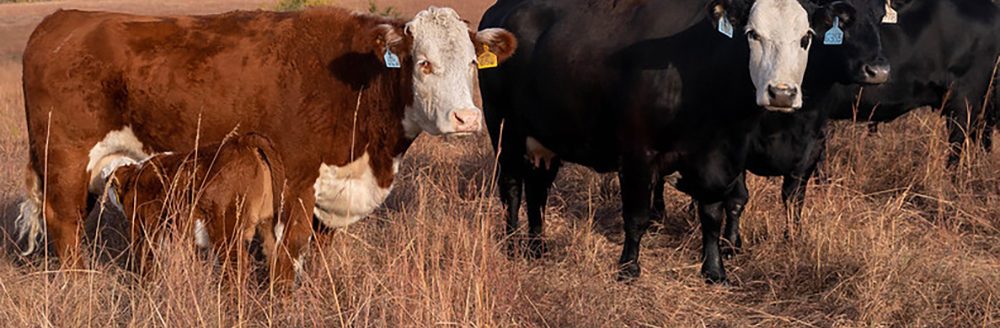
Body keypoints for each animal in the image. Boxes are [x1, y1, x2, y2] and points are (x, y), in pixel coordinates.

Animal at [106, 133, 284, 282]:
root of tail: (243, 142)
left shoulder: (144, 230)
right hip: (267, 224)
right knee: (277, 260)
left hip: (228, 232)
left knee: (236, 267)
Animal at [480, 0, 888, 282]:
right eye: (752, 34)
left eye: (805, 38)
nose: (782, 93)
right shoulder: (638, 153)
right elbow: (637, 214)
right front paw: (629, 267)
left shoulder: (719, 157)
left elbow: (714, 212)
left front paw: (714, 269)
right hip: (504, 130)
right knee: (512, 186)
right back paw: (512, 243)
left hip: (543, 140)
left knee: (538, 190)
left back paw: (537, 245)